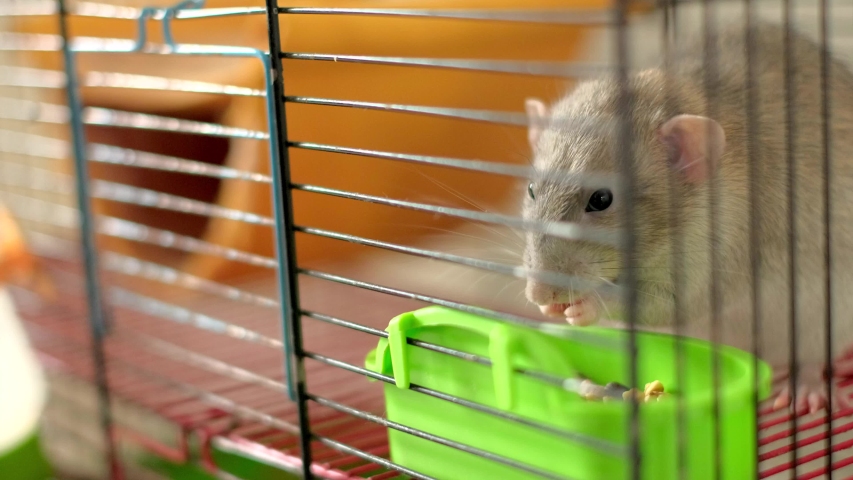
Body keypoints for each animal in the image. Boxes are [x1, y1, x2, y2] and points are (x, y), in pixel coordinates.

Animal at [522, 21, 853, 413]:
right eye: (531, 189)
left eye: (601, 199)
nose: (537, 293)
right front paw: (554, 309)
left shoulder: (720, 241)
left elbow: (670, 301)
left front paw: (590, 305)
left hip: (825, 316)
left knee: (814, 352)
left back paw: (808, 383)